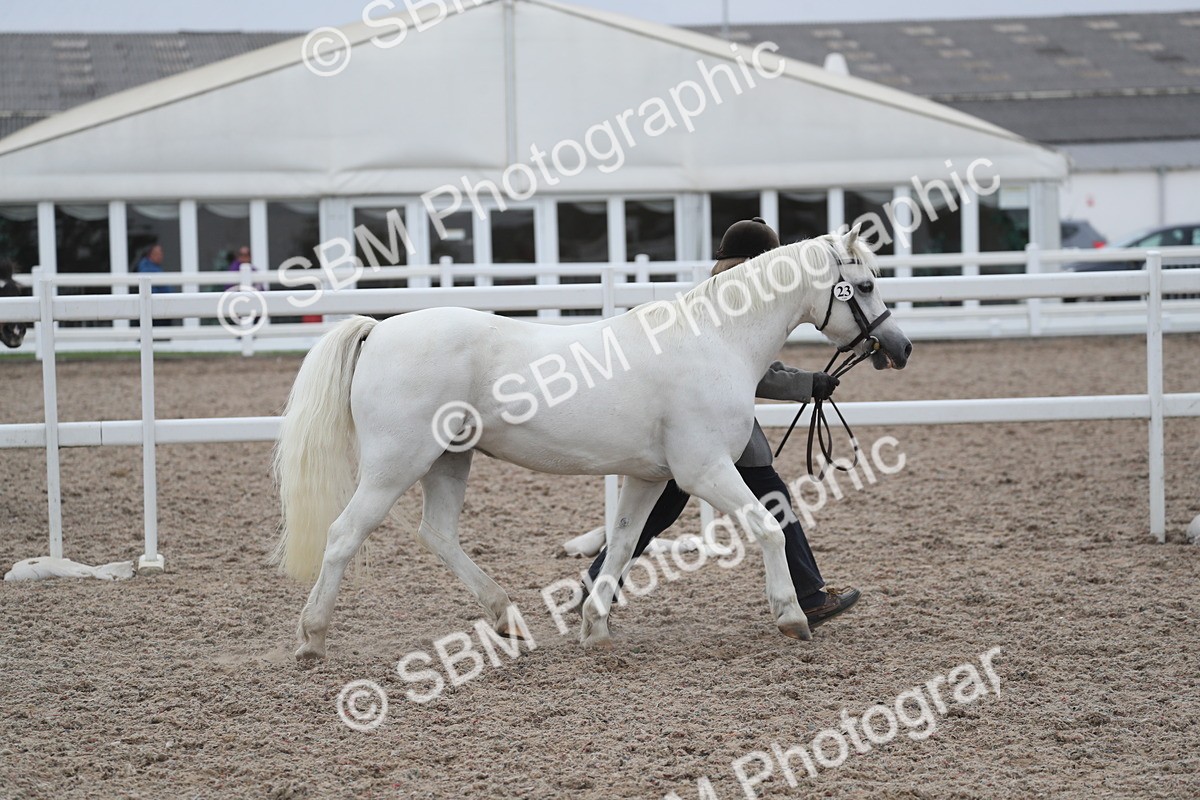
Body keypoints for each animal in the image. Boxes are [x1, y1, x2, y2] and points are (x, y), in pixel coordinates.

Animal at [273, 225, 912, 661]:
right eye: (865, 284)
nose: (900, 347)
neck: (716, 338)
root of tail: (379, 330)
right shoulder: (704, 470)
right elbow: (768, 527)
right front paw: (792, 617)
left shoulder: (651, 477)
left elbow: (624, 545)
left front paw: (596, 626)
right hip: (395, 464)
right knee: (343, 534)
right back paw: (311, 638)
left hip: (449, 460)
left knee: (438, 534)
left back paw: (507, 617)